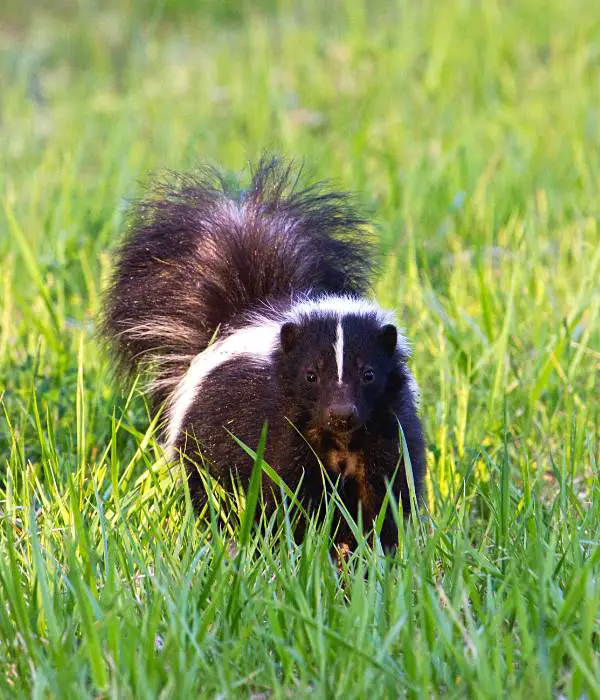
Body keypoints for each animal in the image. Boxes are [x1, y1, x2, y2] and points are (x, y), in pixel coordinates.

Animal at [103, 156, 424, 548]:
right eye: (310, 375)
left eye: (369, 374)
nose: (341, 413)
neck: (340, 442)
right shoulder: (278, 427)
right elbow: (288, 491)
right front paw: (299, 544)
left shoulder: (386, 428)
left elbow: (386, 493)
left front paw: (377, 548)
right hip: (202, 437)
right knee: (209, 487)